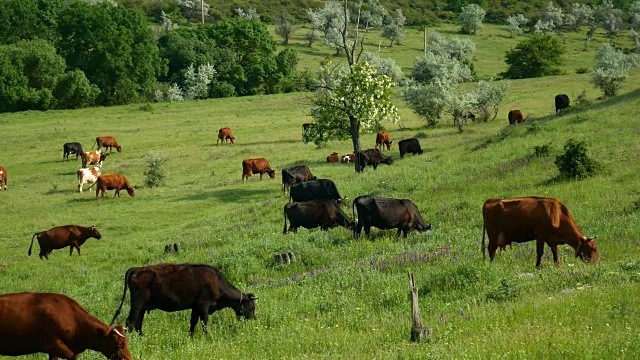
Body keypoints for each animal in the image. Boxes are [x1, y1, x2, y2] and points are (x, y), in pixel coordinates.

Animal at [110, 262, 258, 336]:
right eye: (252, 307)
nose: (253, 320)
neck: (216, 282)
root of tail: (136, 269)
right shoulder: (203, 306)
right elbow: (204, 323)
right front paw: (207, 336)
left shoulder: (195, 307)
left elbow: (193, 323)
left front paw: (191, 336)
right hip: (137, 303)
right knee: (130, 322)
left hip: (142, 307)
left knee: (138, 323)